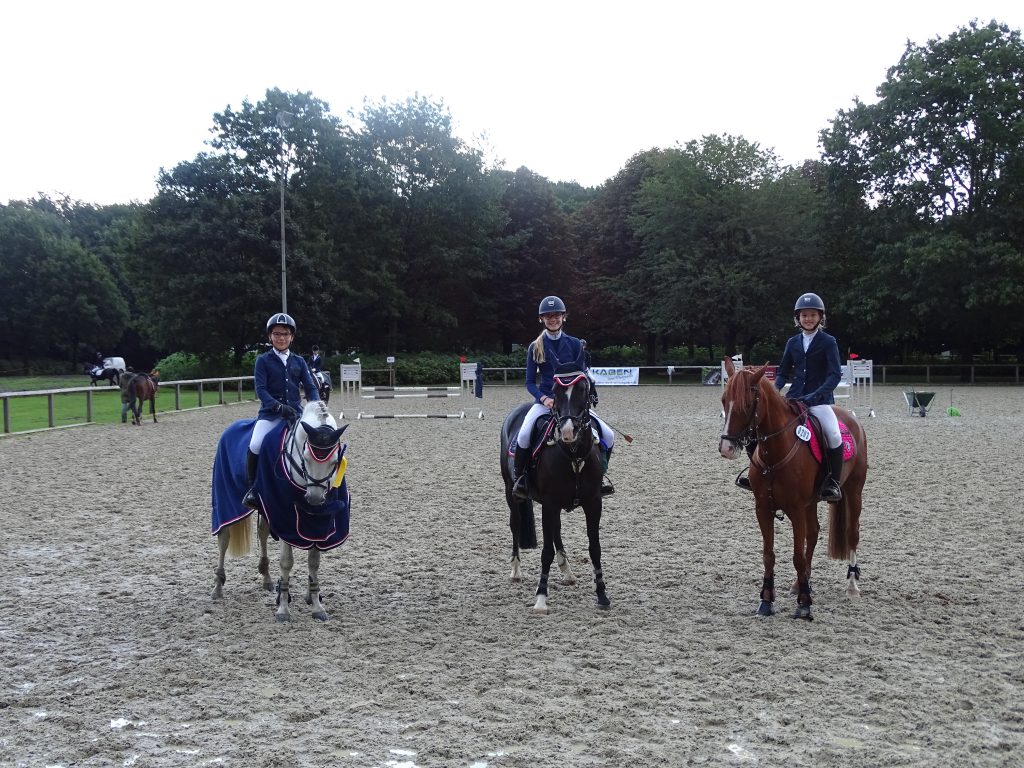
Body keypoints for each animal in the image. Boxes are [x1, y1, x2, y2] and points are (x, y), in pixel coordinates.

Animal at [497, 370, 606, 618]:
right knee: (515, 524)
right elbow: (545, 552)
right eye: (555, 393)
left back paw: (567, 571)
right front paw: (541, 599)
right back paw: (515, 570)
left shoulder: (593, 503)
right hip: (511, 491)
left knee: (556, 530)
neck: (574, 456)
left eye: (584, 390)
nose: (567, 431)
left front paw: (602, 595)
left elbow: (595, 548)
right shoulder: (550, 503)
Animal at [716, 358, 868, 622]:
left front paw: (804, 606)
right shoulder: (763, 509)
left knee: (852, 533)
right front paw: (766, 601)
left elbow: (797, 555)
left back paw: (851, 586)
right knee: (814, 533)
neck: (775, 453)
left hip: (853, 491)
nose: (726, 448)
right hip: (811, 502)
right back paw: (801, 583)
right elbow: (769, 555)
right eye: (724, 400)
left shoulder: (795, 509)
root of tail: (852, 420)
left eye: (748, 404)